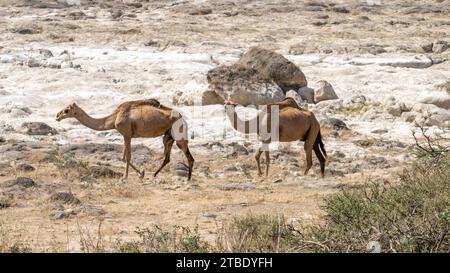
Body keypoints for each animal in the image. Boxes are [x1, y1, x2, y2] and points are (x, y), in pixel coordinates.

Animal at [55, 99, 194, 180]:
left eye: (66, 110)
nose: (57, 116)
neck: (113, 118)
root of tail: (181, 117)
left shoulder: (127, 134)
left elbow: (127, 157)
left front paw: (124, 177)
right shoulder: (125, 135)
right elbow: (123, 157)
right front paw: (141, 173)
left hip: (179, 133)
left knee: (189, 156)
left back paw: (188, 179)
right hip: (168, 136)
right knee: (167, 157)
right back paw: (154, 174)